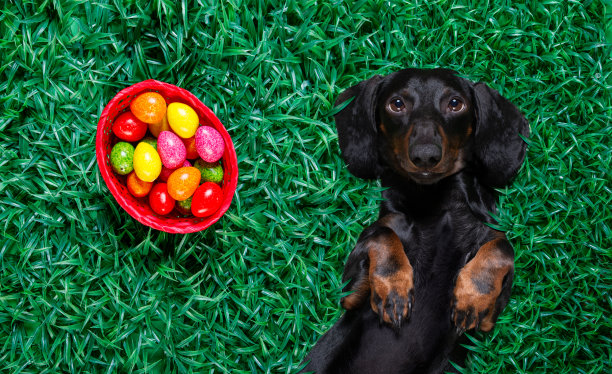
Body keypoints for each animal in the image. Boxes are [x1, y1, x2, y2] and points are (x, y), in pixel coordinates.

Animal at [298, 68, 528, 372]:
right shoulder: (351, 295)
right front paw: (394, 291)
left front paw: (471, 299)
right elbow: (381, 234)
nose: (426, 155)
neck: (434, 203)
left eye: (455, 103)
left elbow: (503, 247)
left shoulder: (490, 317)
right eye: (397, 104)